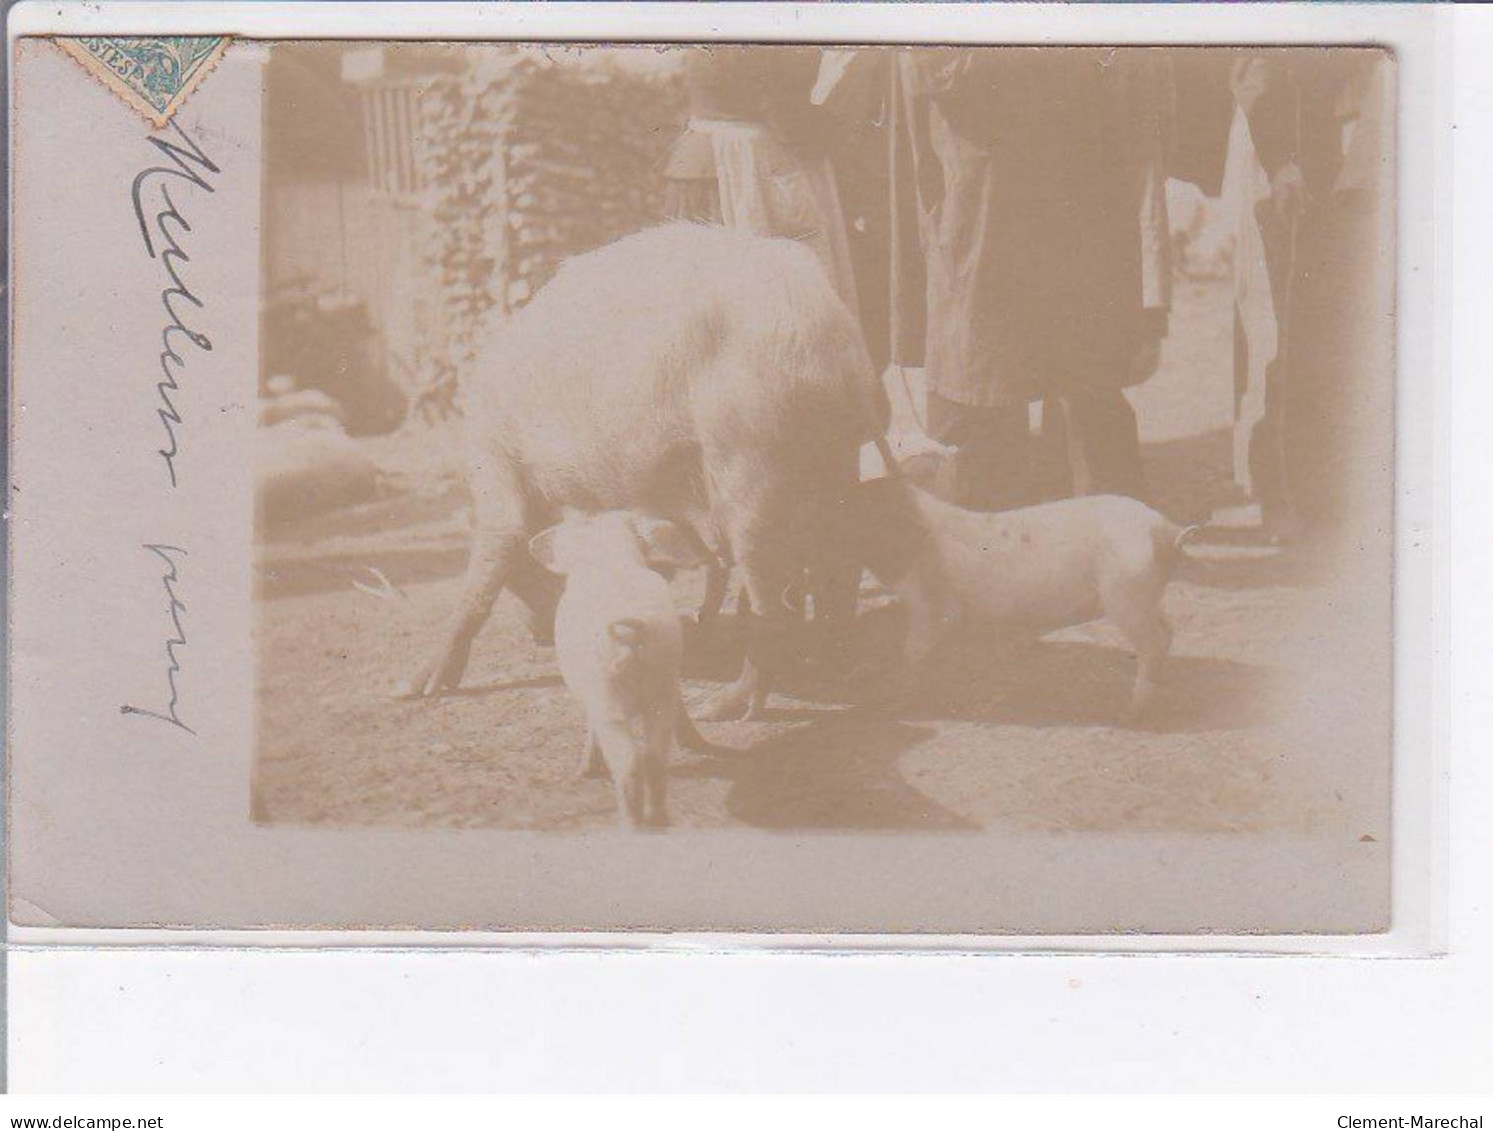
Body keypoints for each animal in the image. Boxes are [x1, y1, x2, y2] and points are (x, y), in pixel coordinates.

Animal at [400, 222, 883, 722]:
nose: (538, 634)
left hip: (749, 455)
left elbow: (489, 562)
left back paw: (722, 707)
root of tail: (823, 330)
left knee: (774, 590)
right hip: (832, 458)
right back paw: (831, 659)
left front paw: (413, 689)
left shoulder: (495, 460)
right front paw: (693, 621)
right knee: (839, 562)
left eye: (528, 575)